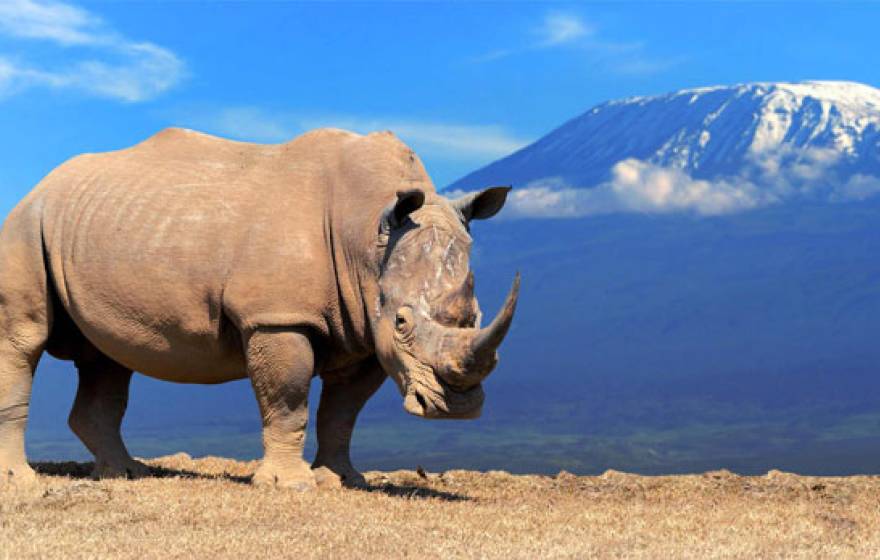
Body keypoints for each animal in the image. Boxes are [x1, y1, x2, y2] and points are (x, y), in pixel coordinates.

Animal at [0, 127, 519, 489]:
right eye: (404, 323)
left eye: (475, 316)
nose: (455, 409)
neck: (369, 233)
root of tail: (41, 184)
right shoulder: (279, 317)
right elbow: (289, 400)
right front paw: (290, 486)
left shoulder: (364, 329)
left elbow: (343, 411)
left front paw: (343, 479)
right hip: (27, 223)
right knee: (24, 339)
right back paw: (22, 483)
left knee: (107, 358)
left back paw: (127, 474)